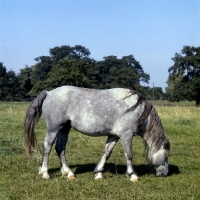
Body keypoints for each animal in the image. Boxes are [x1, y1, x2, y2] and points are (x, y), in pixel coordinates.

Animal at [23, 85, 170, 182]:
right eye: (166, 155)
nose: (165, 173)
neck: (138, 110)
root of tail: (49, 93)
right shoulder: (126, 135)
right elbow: (129, 155)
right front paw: (132, 175)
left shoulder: (114, 136)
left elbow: (106, 153)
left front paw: (98, 173)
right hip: (53, 129)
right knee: (47, 147)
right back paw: (45, 173)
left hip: (64, 129)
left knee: (60, 149)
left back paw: (68, 173)